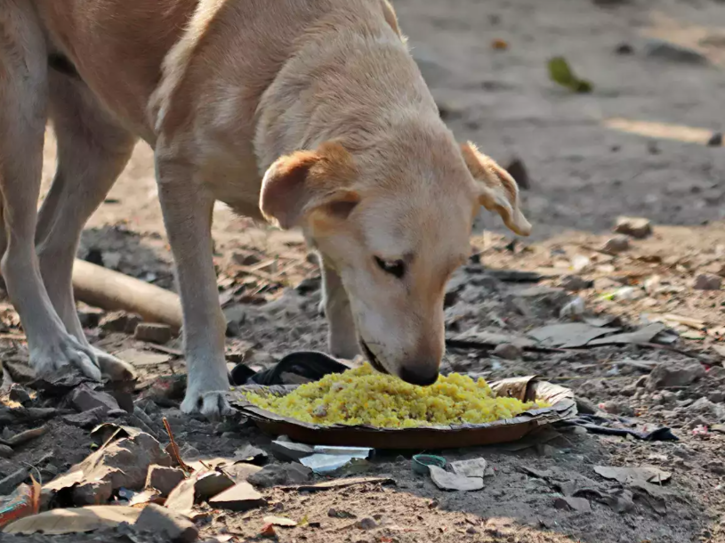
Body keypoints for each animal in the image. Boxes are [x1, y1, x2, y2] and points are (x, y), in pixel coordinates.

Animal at [1, 0, 532, 418]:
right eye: (390, 265)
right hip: (22, 107)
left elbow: (340, 292)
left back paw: (86, 352)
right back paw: (54, 350)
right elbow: (203, 304)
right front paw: (210, 388)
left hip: (103, 138)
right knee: (17, 254)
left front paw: (341, 363)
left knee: (50, 247)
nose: (424, 375)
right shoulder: (176, 176)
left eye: (452, 271)